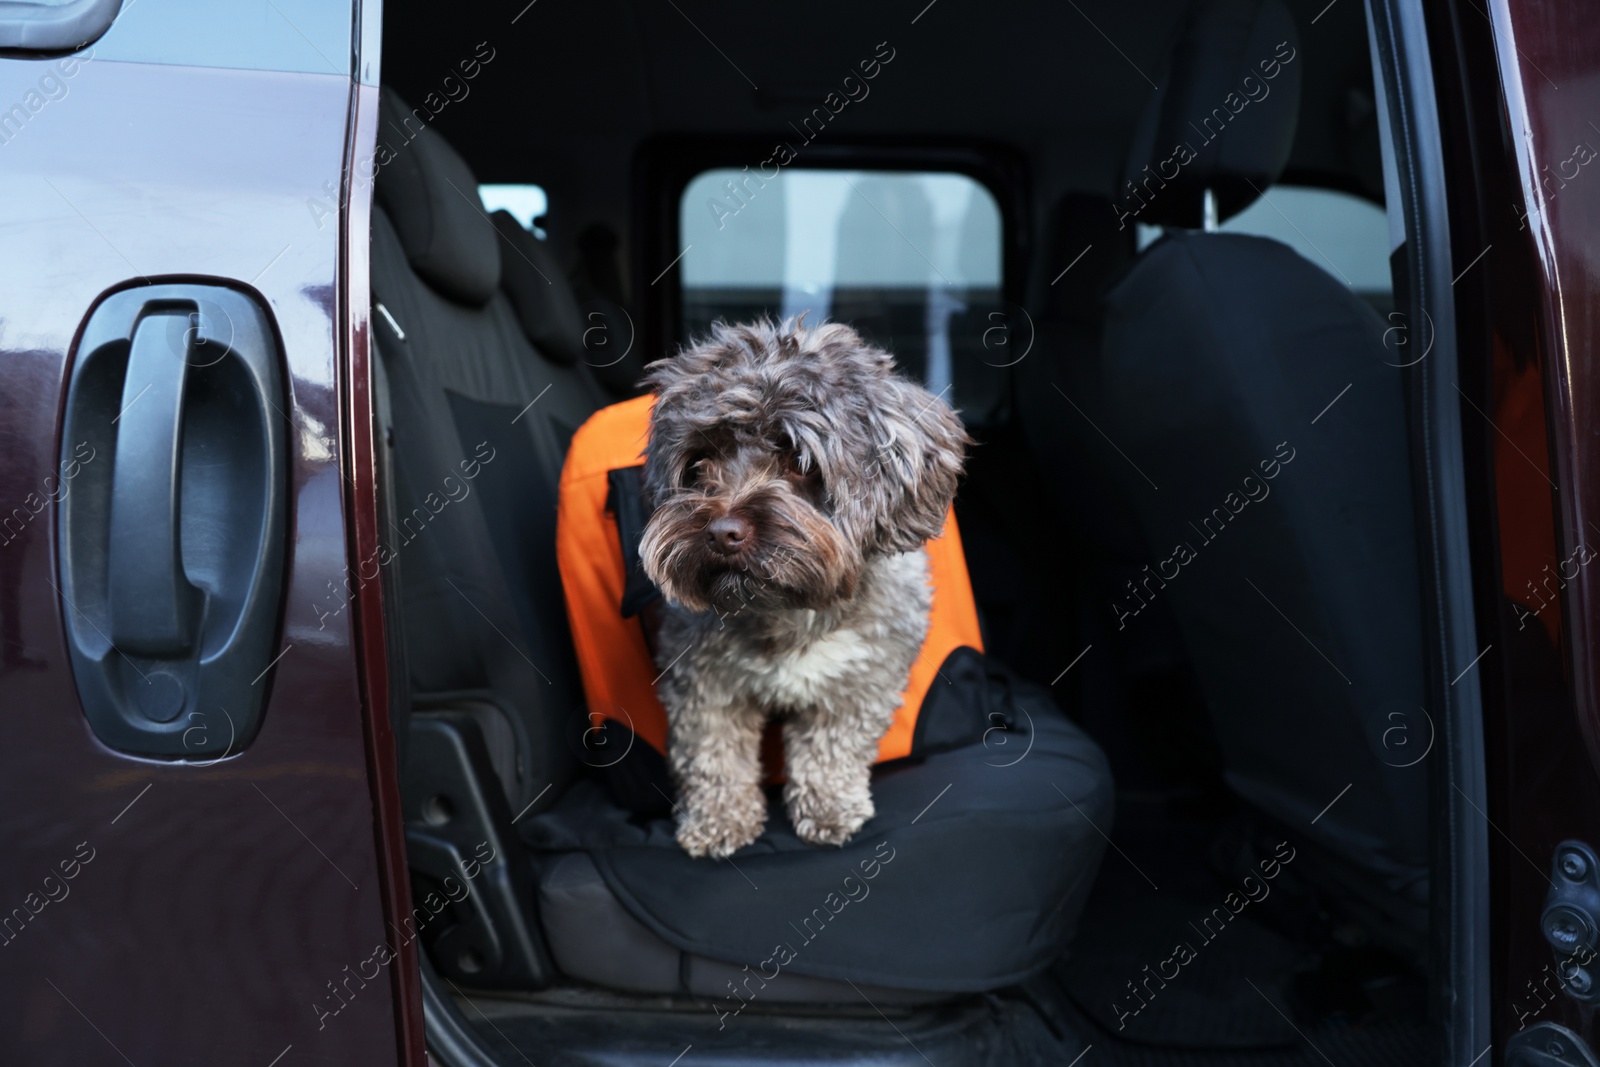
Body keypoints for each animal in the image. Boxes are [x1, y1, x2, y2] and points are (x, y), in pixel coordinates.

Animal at [640, 316, 966, 857]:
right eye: (700, 462)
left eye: (797, 459)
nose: (721, 533)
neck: (787, 606)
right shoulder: (702, 680)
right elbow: (713, 753)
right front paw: (719, 820)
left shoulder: (863, 678)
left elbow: (833, 749)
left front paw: (829, 809)